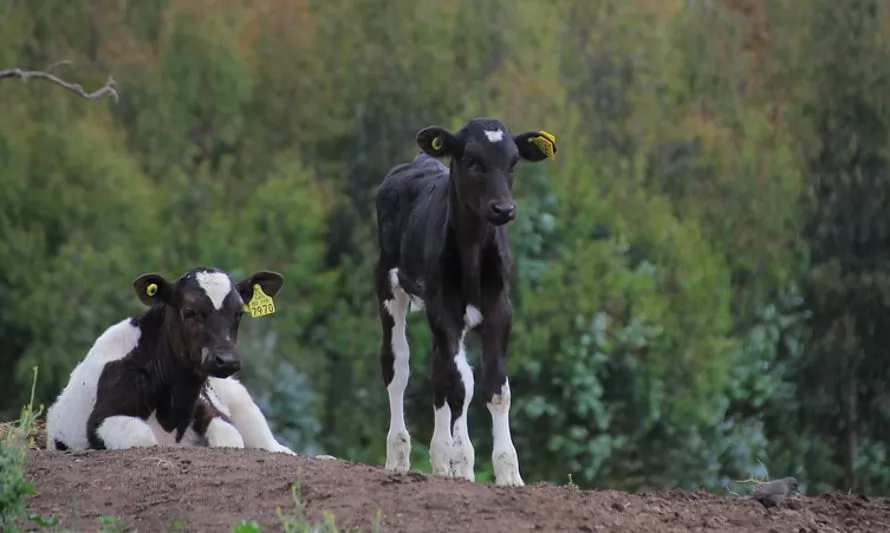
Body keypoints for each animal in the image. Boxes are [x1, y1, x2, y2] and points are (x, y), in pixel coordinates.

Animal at [45, 266, 294, 454]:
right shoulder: (101, 421)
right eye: (190, 311)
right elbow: (142, 437)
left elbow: (230, 437)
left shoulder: (211, 411)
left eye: (239, 313)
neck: (173, 412)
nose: (227, 360)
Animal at [372, 118, 556, 484]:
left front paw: (507, 470)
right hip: (387, 282)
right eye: (472, 160)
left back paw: (440, 460)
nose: (504, 208)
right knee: (397, 364)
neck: (472, 252)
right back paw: (398, 455)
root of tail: (419, 161)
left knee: (437, 370)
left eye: (513, 162)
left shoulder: (500, 309)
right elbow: (461, 385)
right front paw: (463, 462)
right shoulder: (445, 308)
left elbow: (496, 386)